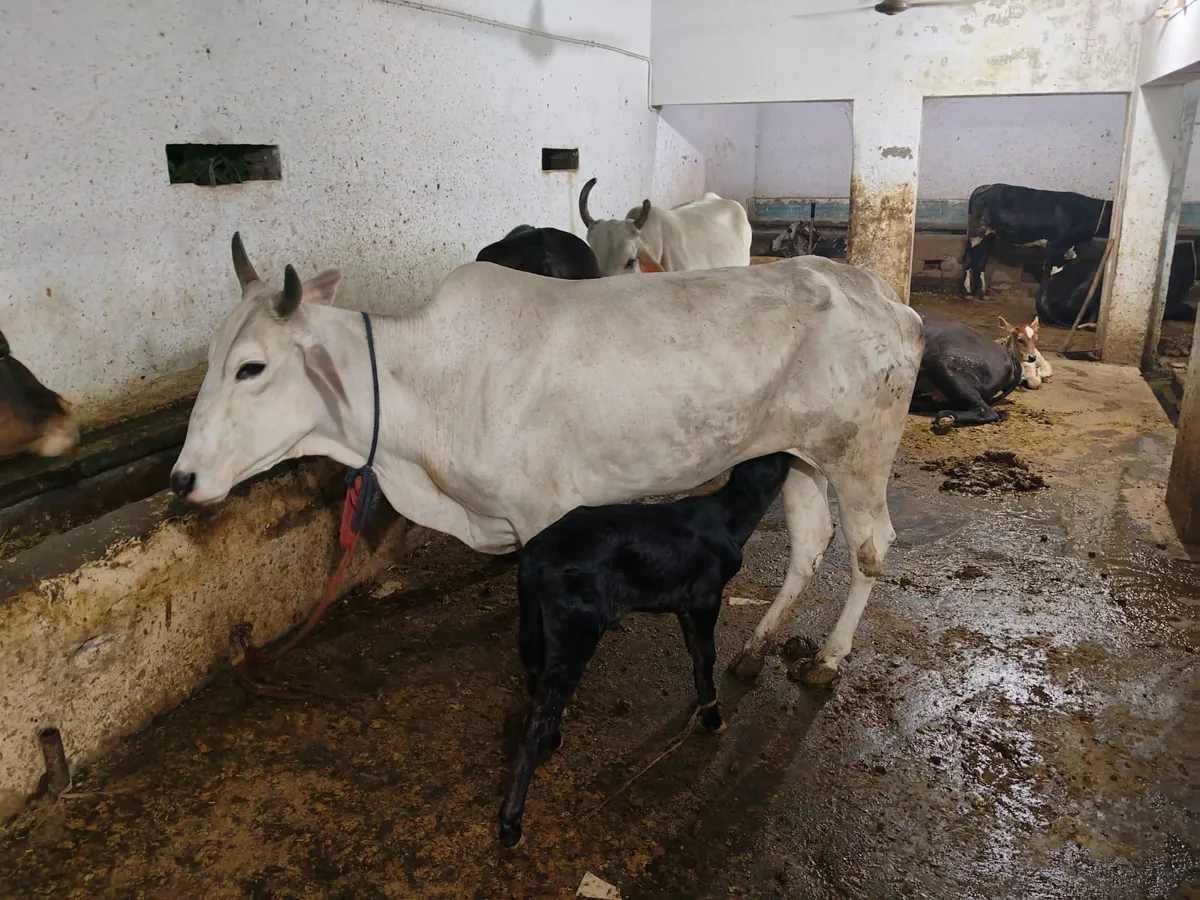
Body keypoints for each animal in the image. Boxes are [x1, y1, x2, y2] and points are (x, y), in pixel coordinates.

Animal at [169, 233, 923, 686]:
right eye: (209, 358)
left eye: (250, 367)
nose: (181, 479)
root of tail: (885, 298)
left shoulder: (545, 517)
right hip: (800, 453)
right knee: (811, 544)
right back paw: (754, 649)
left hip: (860, 455)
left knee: (871, 547)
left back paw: (828, 657)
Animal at [963, 183, 1112, 298]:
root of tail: (983, 187)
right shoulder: (1057, 246)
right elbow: (1055, 272)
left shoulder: (1069, 248)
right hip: (977, 234)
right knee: (972, 259)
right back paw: (969, 291)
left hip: (989, 236)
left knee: (981, 260)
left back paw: (982, 292)